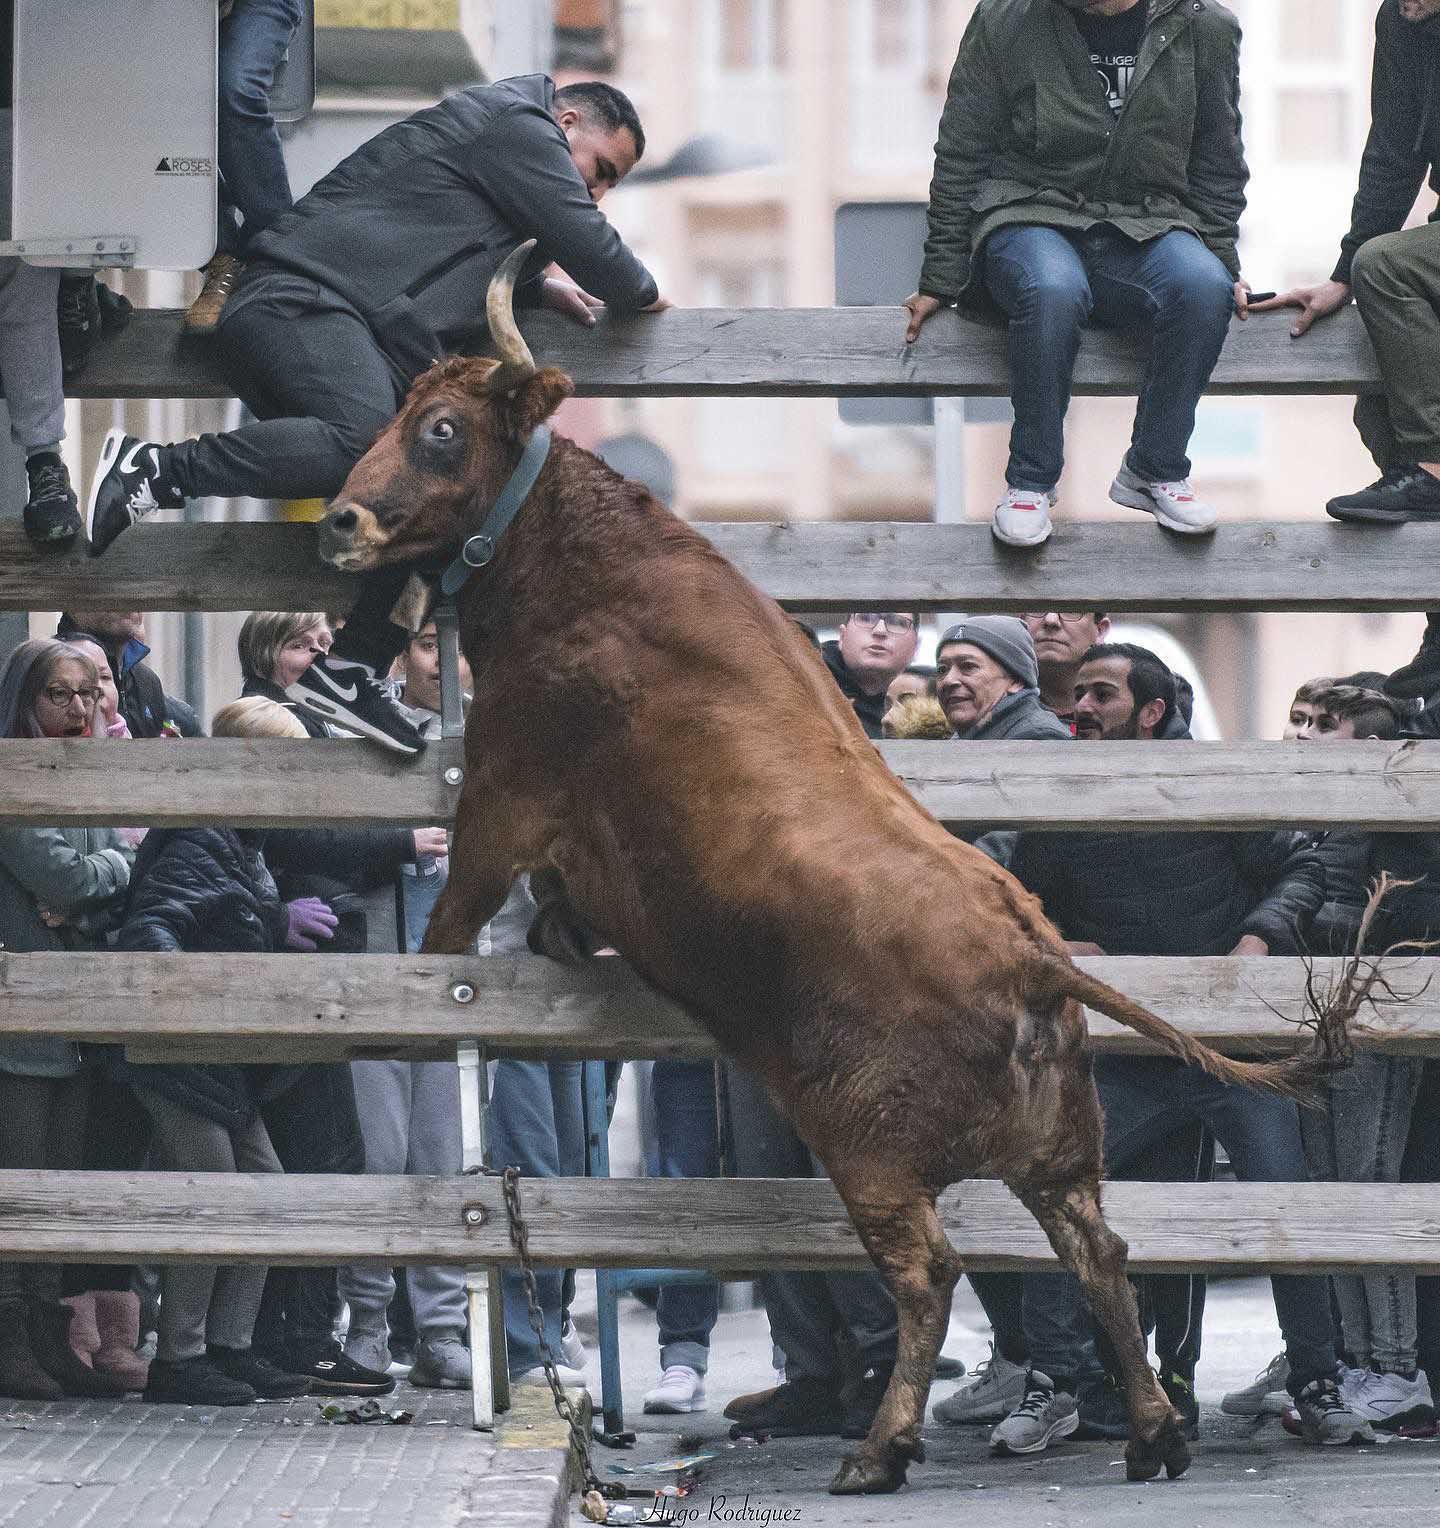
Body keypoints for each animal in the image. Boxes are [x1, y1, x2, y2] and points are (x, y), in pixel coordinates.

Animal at [317, 247, 1339, 1491]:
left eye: (443, 430)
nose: (342, 519)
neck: (584, 567)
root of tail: (1032, 953)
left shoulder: (508, 789)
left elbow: (456, 915)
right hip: (1059, 1152)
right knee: (1096, 1246)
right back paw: (1151, 1433)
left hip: (871, 1153)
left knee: (930, 1273)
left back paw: (881, 1449)